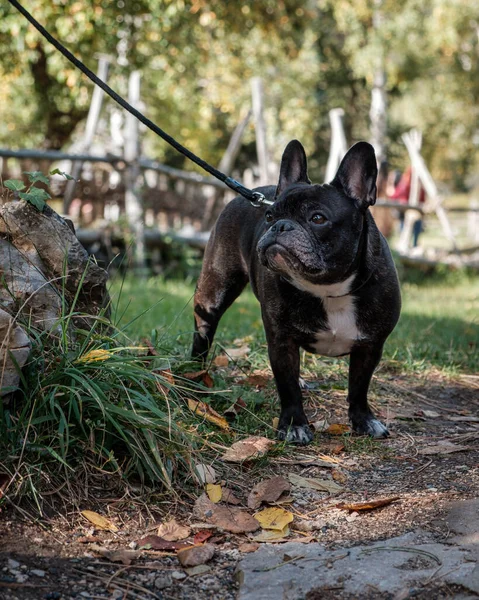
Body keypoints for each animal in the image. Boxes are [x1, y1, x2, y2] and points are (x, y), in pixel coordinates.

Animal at [191, 138, 402, 442]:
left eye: (317, 218)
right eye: (269, 215)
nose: (280, 225)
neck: (328, 289)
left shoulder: (371, 346)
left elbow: (359, 386)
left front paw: (364, 420)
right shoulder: (281, 341)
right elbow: (286, 385)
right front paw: (294, 425)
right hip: (214, 292)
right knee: (203, 335)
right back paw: (192, 376)